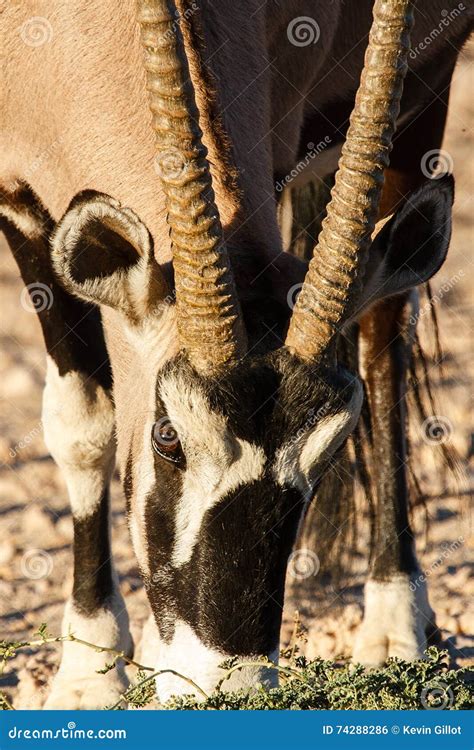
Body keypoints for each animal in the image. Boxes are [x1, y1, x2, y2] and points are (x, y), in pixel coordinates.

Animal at [0, 0, 471, 708]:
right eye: (167, 436)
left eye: (331, 449)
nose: (232, 689)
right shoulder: (16, 196)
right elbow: (83, 425)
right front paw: (90, 670)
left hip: (425, 98)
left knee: (386, 327)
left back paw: (395, 625)